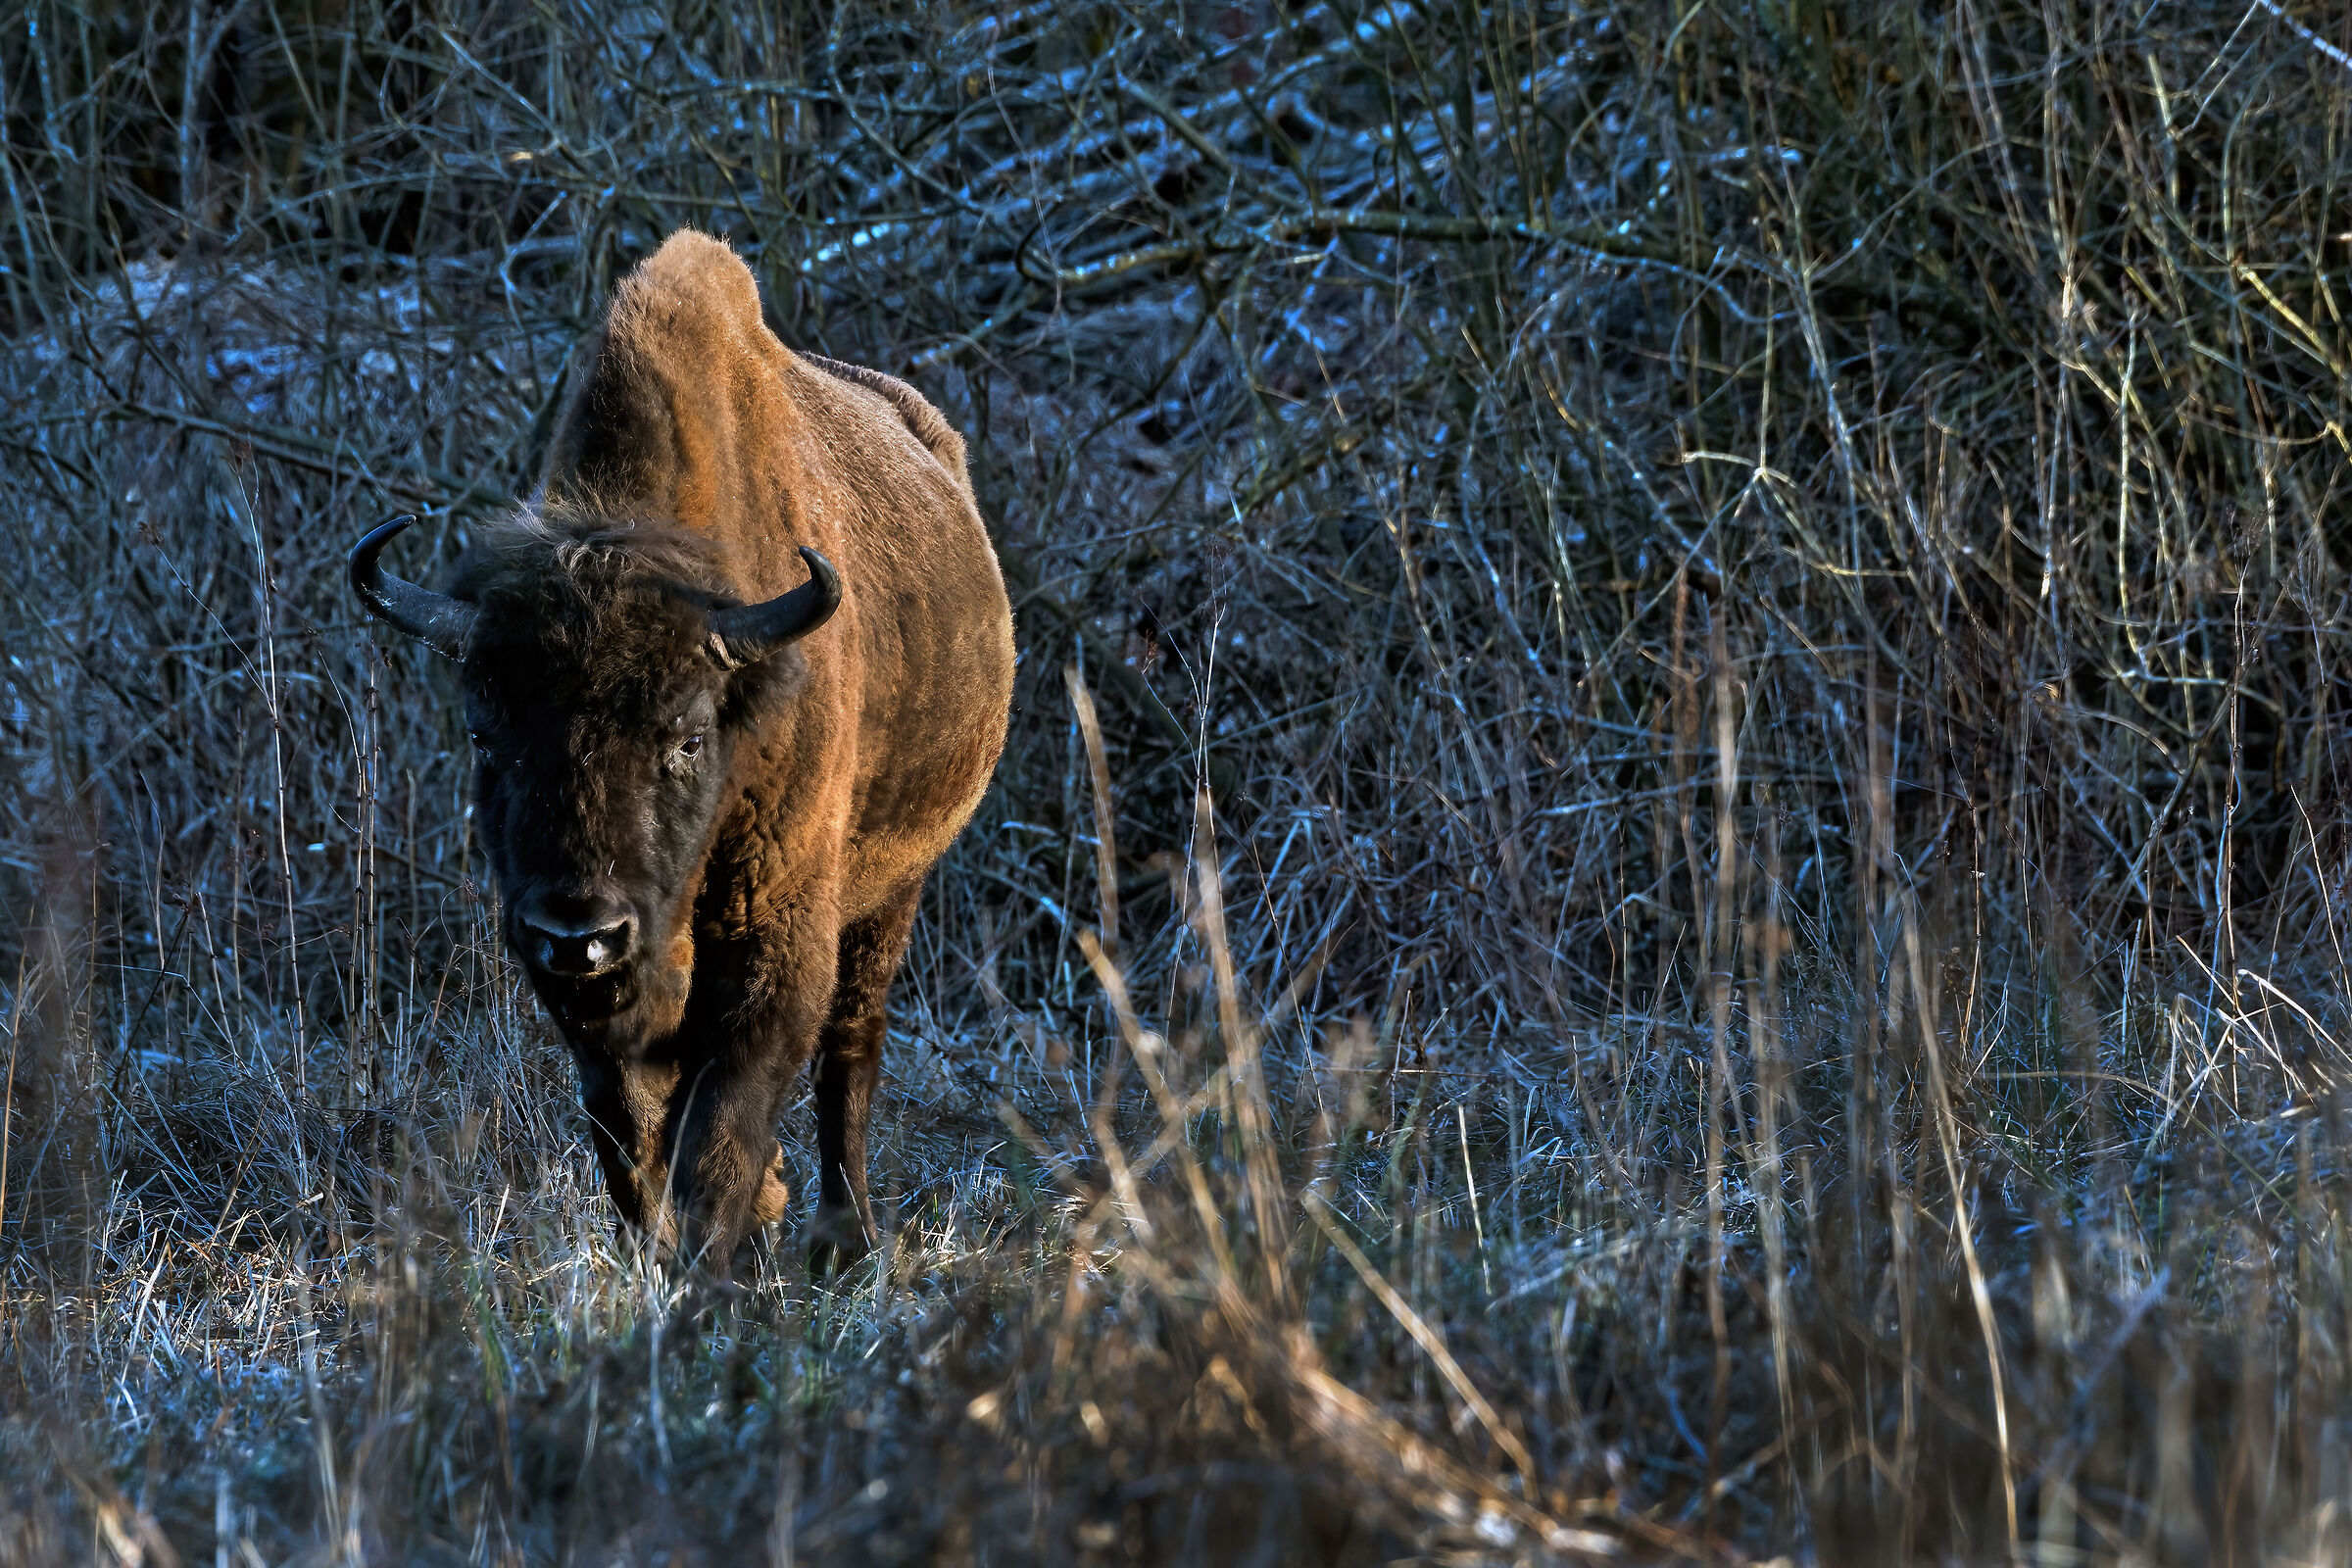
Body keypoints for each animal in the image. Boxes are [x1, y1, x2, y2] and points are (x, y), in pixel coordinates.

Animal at [351, 231, 1015, 1269]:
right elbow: (630, 1127)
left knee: (852, 1050)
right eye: (484, 733)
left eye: (688, 737)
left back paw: (844, 1238)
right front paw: (662, 1256)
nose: (579, 933)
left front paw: (720, 1264)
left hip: (895, 891)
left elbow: (723, 1127)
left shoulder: (777, 939)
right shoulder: (594, 998)